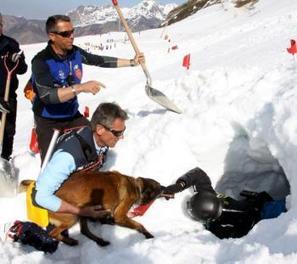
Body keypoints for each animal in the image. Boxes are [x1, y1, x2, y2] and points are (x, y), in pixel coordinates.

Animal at [22, 170, 163, 246]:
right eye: (158, 189)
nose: (165, 188)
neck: (135, 186)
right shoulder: (120, 215)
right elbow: (139, 225)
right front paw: (148, 234)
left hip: (83, 212)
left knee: (84, 231)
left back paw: (100, 241)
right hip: (73, 215)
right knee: (53, 233)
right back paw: (71, 242)